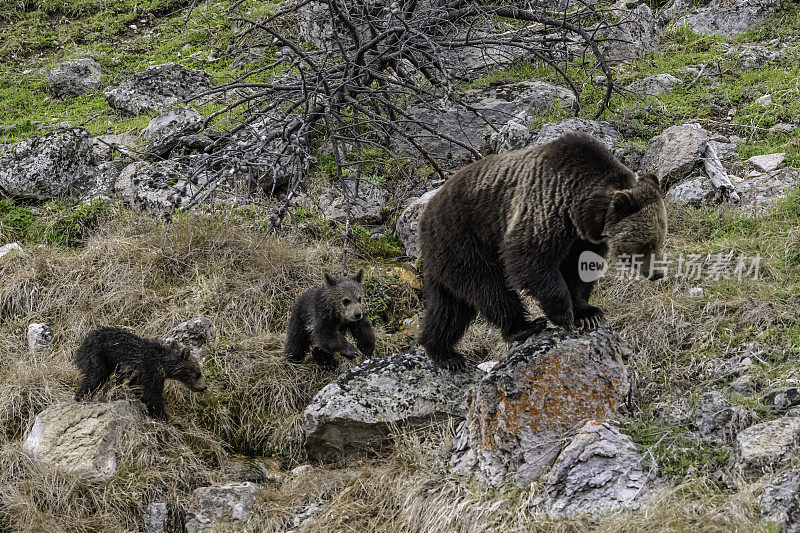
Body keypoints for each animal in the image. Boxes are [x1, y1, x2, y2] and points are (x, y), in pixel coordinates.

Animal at [418, 133, 668, 368]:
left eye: (659, 240)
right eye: (645, 244)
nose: (657, 273)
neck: (582, 211)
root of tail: (426, 212)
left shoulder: (582, 239)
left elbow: (580, 271)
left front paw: (588, 314)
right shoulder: (546, 206)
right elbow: (528, 255)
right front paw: (564, 314)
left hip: (447, 258)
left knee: (449, 307)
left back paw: (444, 353)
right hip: (465, 237)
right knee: (489, 286)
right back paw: (523, 327)